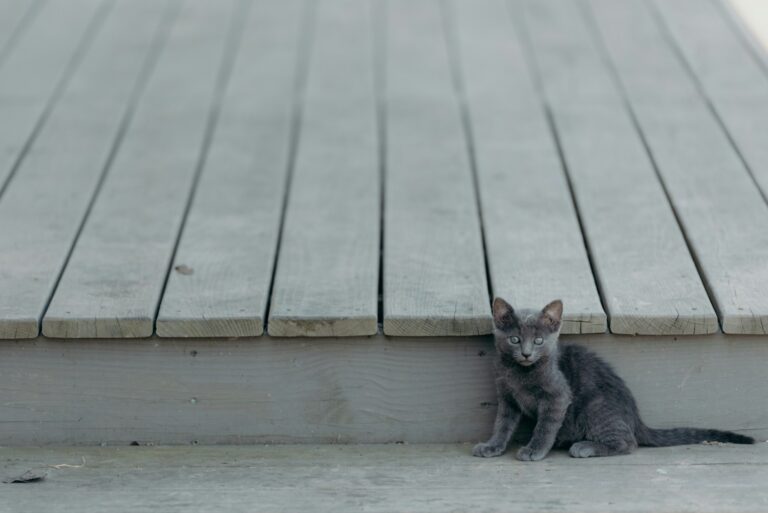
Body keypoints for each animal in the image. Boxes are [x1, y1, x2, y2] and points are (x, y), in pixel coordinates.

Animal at [474, 296, 756, 460]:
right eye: (515, 339)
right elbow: (502, 424)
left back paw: (585, 447)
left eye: (539, 341)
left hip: (595, 407)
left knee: (628, 443)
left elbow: (545, 426)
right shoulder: (507, 397)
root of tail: (636, 418)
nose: (526, 353)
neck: (520, 373)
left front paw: (535, 450)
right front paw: (492, 446)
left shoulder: (558, 396)